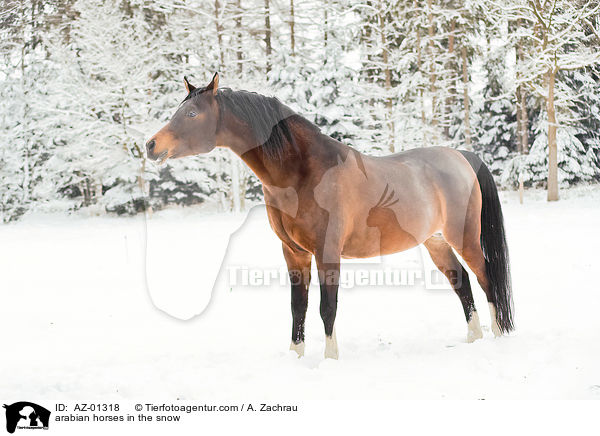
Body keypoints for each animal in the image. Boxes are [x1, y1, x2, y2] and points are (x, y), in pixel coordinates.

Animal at [148, 73, 512, 360]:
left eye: (192, 113)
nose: (151, 145)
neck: (305, 173)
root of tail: (461, 157)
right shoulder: (293, 253)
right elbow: (298, 306)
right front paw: (295, 357)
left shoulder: (327, 252)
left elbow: (327, 307)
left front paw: (330, 358)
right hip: (435, 242)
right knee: (461, 282)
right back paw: (473, 338)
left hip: (464, 237)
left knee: (486, 278)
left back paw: (497, 336)